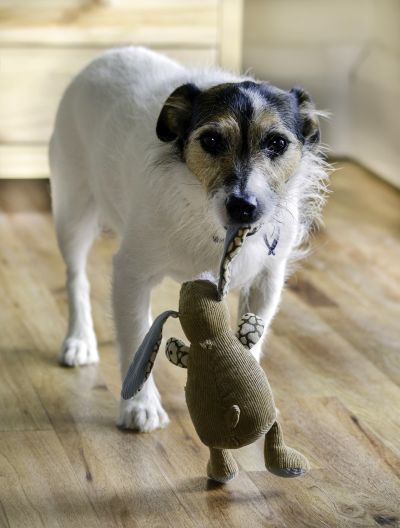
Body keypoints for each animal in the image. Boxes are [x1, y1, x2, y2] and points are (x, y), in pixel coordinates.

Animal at [49, 45, 328, 434]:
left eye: (277, 143)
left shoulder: (266, 280)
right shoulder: (131, 272)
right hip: (73, 212)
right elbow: (136, 340)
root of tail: (110, 53)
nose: (243, 206)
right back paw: (79, 340)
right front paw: (140, 407)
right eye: (211, 140)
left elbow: (251, 345)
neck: (214, 225)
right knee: (76, 278)